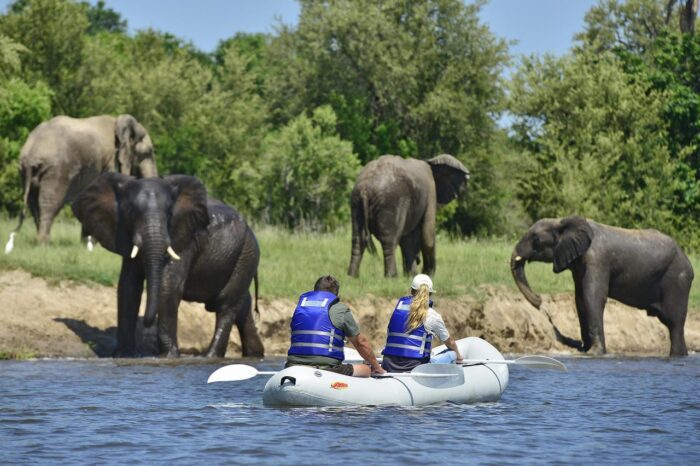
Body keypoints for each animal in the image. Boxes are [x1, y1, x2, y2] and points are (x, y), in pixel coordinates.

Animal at [14, 114, 157, 244]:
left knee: (33, 204)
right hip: (56, 170)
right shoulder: (111, 161)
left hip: (25, 172)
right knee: (50, 203)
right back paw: (43, 244)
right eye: (147, 153)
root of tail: (31, 155)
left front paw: (86, 245)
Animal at [73, 171, 266, 356]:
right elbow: (128, 288)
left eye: (169, 214)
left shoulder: (185, 241)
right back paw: (255, 354)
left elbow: (168, 288)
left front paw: (167, 356)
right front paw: (124, 355)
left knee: (226, 304)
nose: (147, 323)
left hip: (247, 254)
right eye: (130, 212)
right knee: (242, 305)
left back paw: (209, 356)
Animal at [508, 216, 696, 356]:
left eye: (536, 239)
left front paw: (594, 353)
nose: (539, 300)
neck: (562, 221)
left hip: (678, 281)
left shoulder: (597, 260)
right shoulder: (579, 265)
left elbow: (593, 297)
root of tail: (688, 261)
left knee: (674, 323)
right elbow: (580, 300)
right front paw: (585, 350)